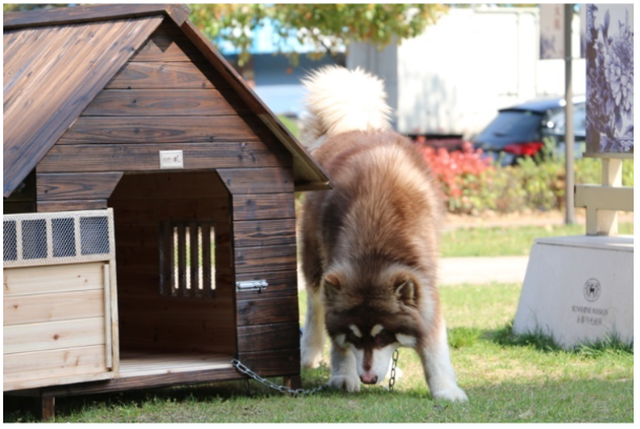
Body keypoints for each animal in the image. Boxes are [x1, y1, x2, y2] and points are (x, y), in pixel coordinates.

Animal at [298, 65, 468, 400]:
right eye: (353, 336)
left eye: (383, 336)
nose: (368, 379)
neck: (374, 251)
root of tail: (352, 128)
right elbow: (336, 342)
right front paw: (343, 375)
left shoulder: (424, 282)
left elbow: (434, 345)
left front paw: (445, 389)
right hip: (313, 257)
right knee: (314, 305)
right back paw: (308, 352)